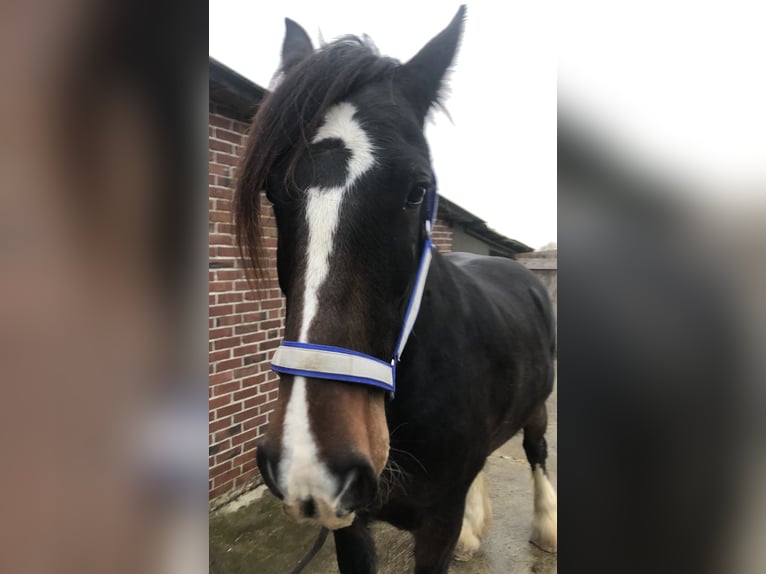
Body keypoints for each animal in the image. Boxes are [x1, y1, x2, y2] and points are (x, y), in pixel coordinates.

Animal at [234, 6, 557, 573]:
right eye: (272, 190)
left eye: (417, 190)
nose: (312, 461)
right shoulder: (350, 523)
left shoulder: (437, 523)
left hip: (537, 406)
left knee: (537, 451)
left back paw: (545, 527)